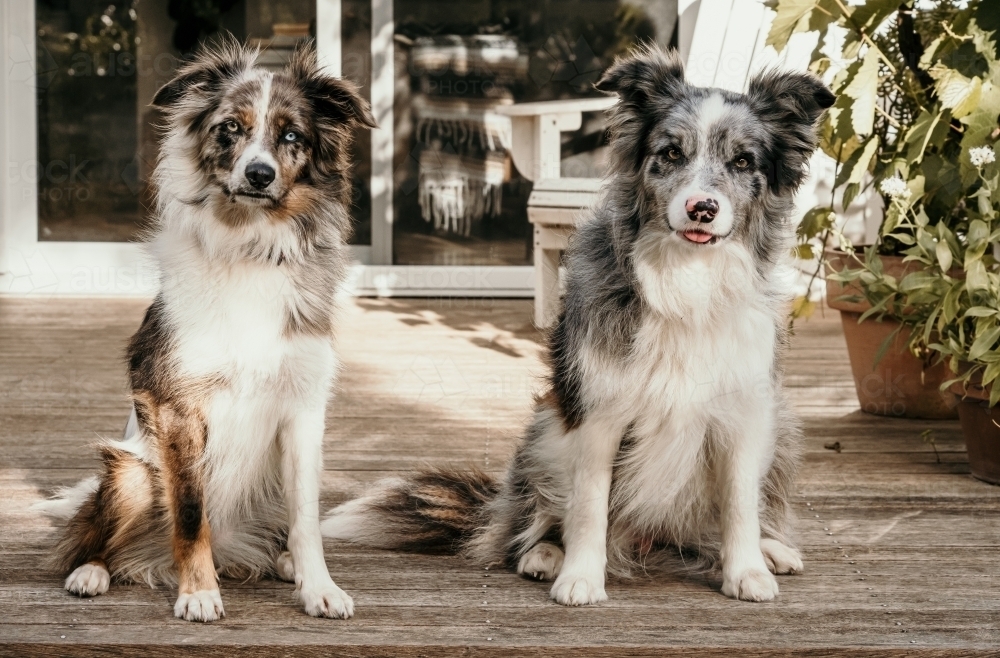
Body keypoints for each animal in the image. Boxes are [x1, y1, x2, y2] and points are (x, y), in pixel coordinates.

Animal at [37, 41, 376, 620]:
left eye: (292, 136)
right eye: (230, 128)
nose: (259, 174)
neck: (251, 246)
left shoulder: (304, 409)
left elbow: (307, 519)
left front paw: (319, 587)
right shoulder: (178, 407)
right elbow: (192, 514)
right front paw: (198, 592)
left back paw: (282, 562)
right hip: (131, 470)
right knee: (94, 536)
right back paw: (91, 571)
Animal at [324, 43, 832, 604]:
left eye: (743, 161)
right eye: (671, 153)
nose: (702, 208)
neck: (686, 279)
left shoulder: (744, 413)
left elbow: (739, 503)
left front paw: (746, 572)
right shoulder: (597, 412)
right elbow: (588, 506)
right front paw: (581, 578)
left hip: (781, 428)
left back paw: (771, 549)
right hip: (544, 430)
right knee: (528, 522)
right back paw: (543, 555)